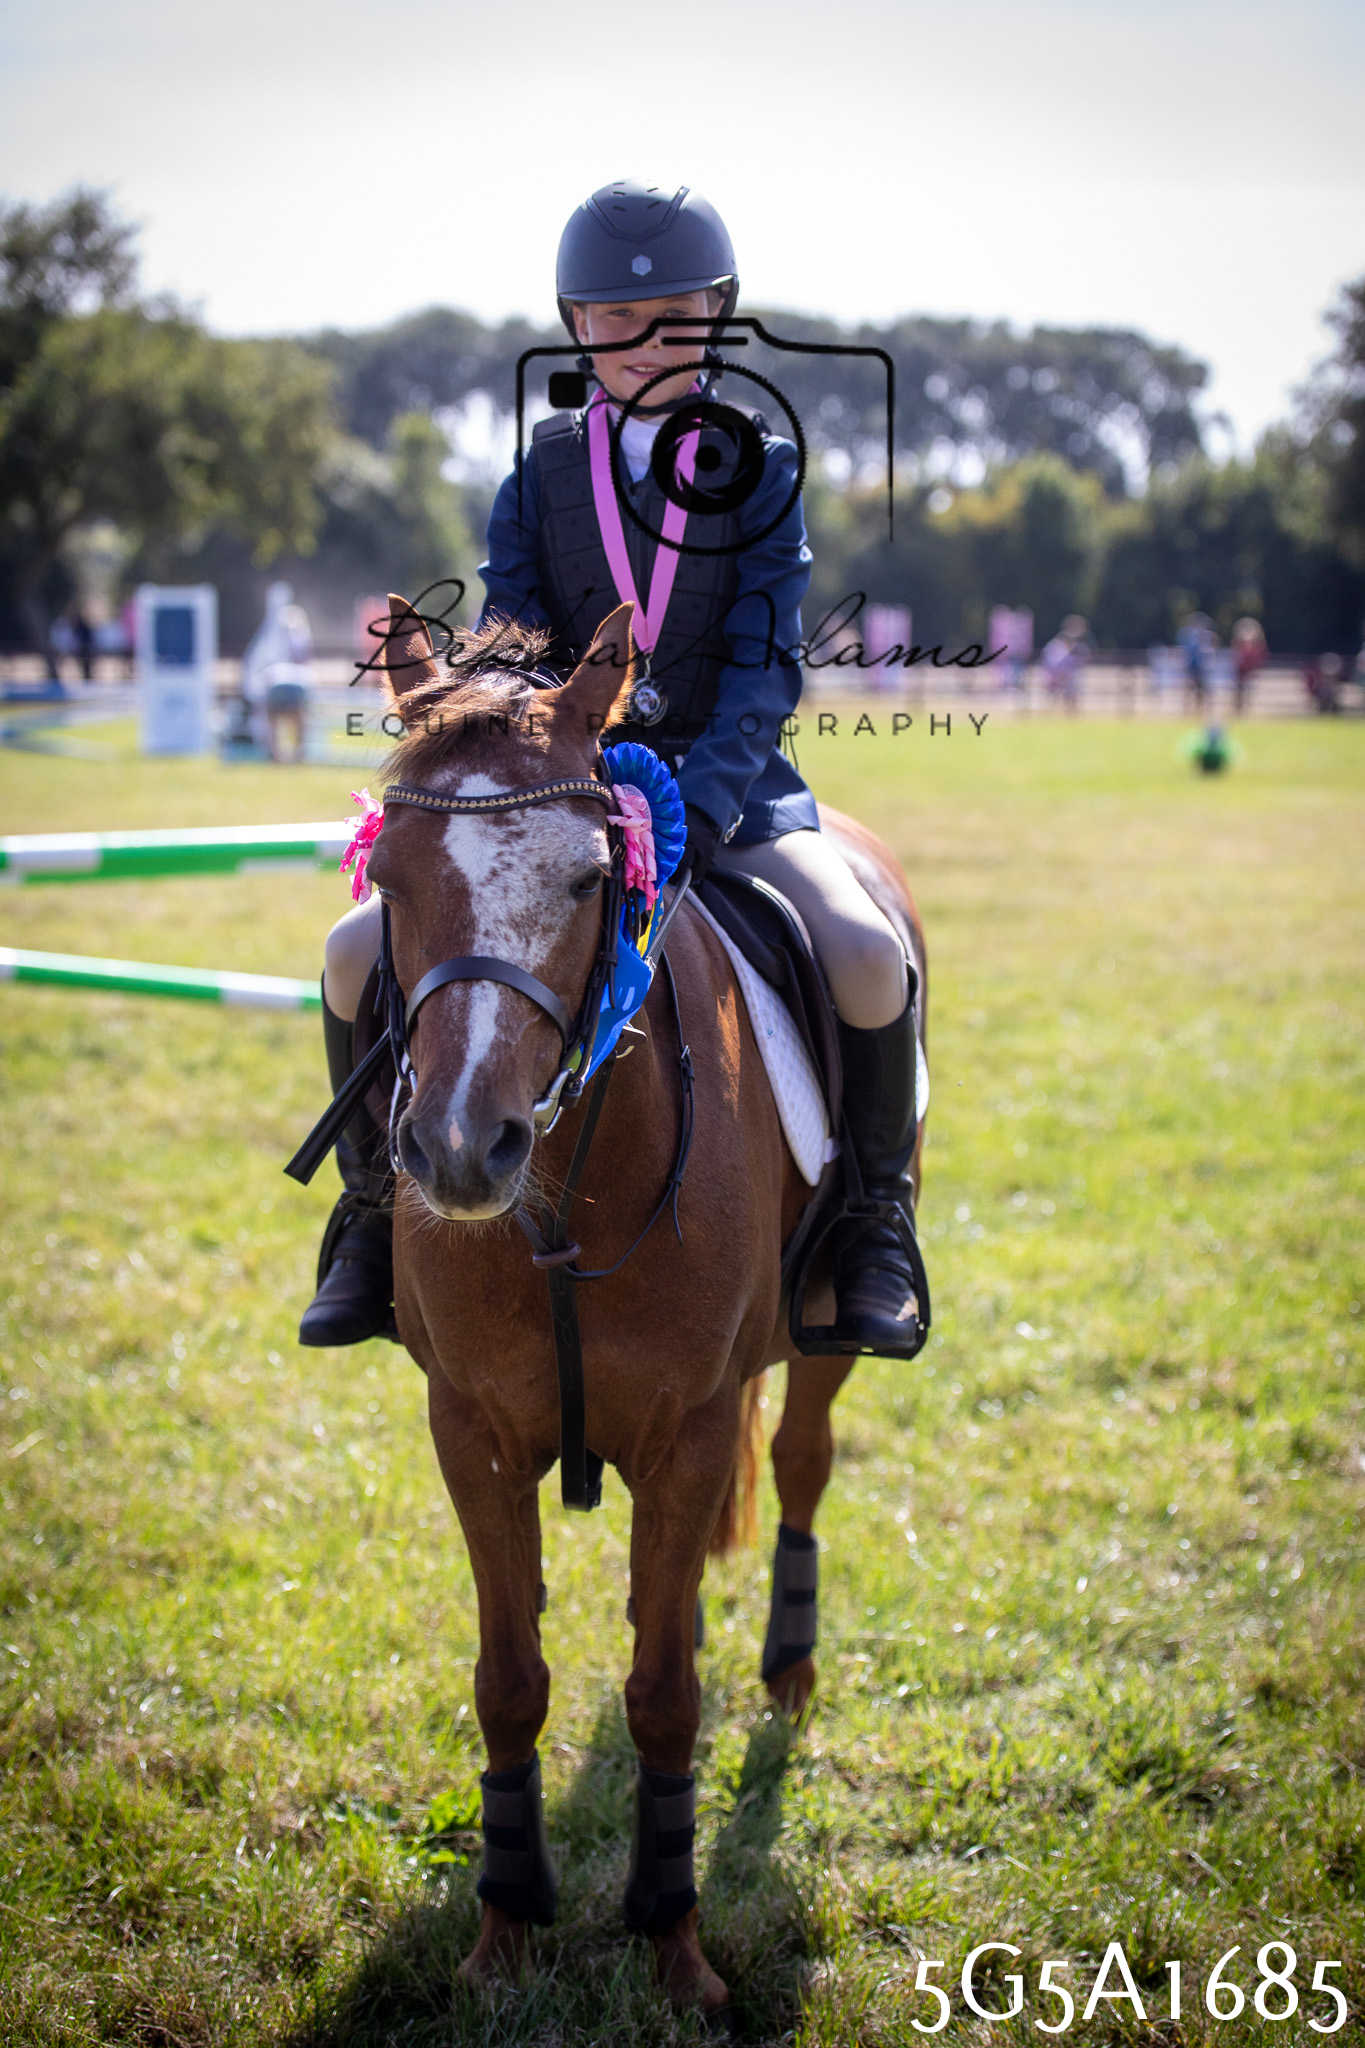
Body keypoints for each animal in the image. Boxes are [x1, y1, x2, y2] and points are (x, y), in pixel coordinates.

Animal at [355, 592, 929, 2016]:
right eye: (389, 882)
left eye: (584, 879)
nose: (460, 1150)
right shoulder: (470, 1430)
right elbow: (509, 1681)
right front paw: (506, 1929)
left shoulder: (689, 1431)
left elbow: (667, 1692)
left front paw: (675, 1947)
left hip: (821, 1339)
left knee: (803, 1458)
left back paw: (788, 1663)